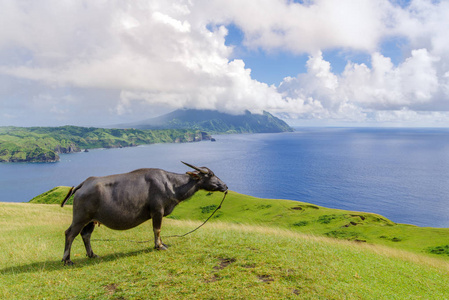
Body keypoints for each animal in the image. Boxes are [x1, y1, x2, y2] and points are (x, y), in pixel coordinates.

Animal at [60, 162, 228, 264]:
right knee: (70, 234)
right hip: (80, 218)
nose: (225, 186)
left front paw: (162, 243)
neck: (170, 184)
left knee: (86, 234)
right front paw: (159, 246)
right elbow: (157, 229)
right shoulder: (157, 211)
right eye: (211, 175)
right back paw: (67, 260)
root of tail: (84, 184)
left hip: (90, 220)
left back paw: (92, 254)